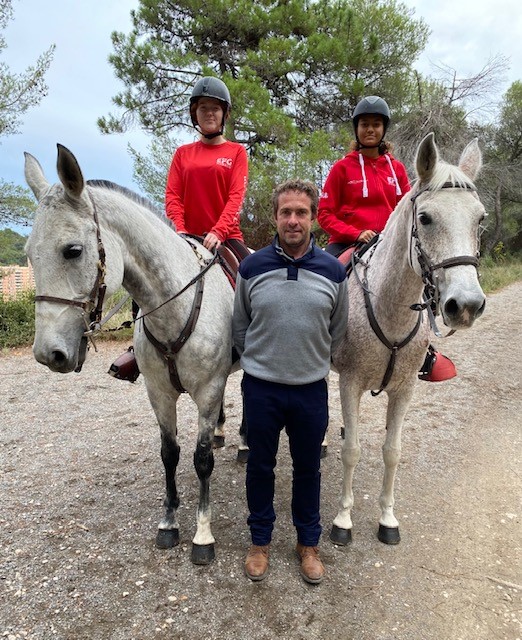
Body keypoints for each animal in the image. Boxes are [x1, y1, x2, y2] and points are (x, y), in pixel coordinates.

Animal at [23, 144, 243, 560]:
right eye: (29, 254)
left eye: (72, 250)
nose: (48, 354)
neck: (177, 305)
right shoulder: (158, 393)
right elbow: (170, 453)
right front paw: (169, 522)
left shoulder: (207, 390)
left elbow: (201, 459)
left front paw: (202, 534)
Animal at [330, 134, 488, 544]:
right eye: (425, 218)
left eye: (480, 219)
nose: (466, 305)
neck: (390, 307)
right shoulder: (350, 382)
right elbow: (351, 451)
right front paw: (343, 520)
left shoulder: (404, 390)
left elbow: (392, 451)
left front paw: (387, 518)